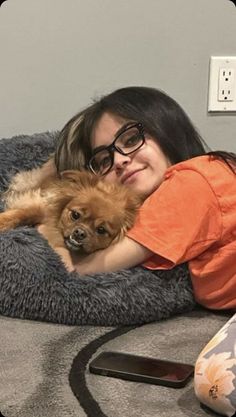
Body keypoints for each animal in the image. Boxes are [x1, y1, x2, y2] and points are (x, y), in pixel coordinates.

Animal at [0, 169, 141, 264]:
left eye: (101, 230)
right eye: (75, 215)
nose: (80, 232)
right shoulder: (41, 206)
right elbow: (23, 213)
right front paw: (3, 222)